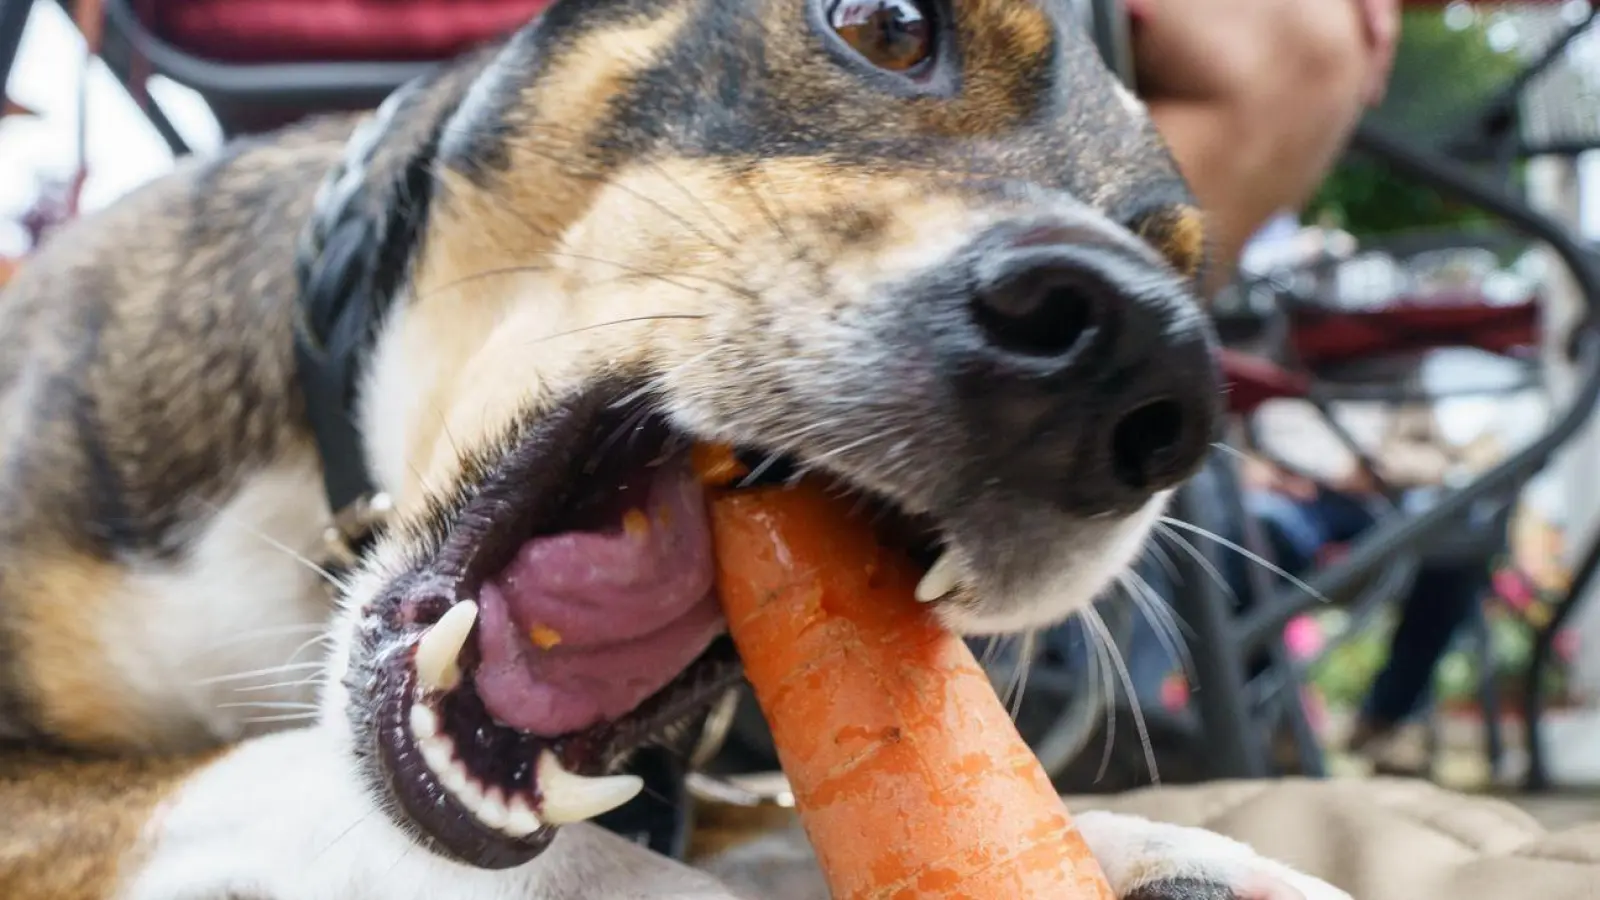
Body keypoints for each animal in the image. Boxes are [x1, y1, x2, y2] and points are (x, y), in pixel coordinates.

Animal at [0, 1, 1350, 896]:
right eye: (885, 23)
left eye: (1190, 273)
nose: (1143, 364)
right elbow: (311, 786)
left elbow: (769, 816)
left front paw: (1164, 853)